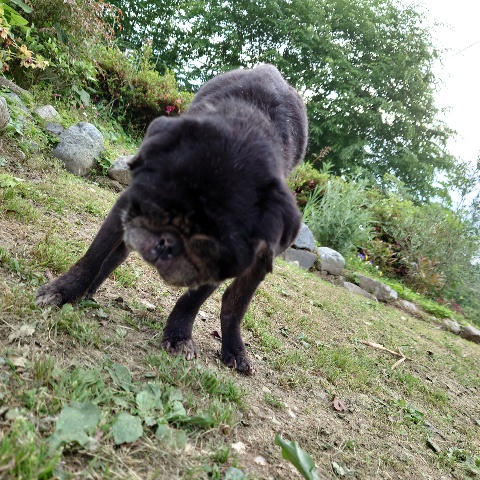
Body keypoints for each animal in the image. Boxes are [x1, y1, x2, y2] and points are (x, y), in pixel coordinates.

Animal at [36, 65, 308, 374]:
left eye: (209, 243)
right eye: (156, 205)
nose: (167, 242)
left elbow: (194, 299)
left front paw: (178, 335)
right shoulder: (127, 203)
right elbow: (95, 255)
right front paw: (63, 292)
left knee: (234, 304)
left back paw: (235, 349)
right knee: (115, 255)